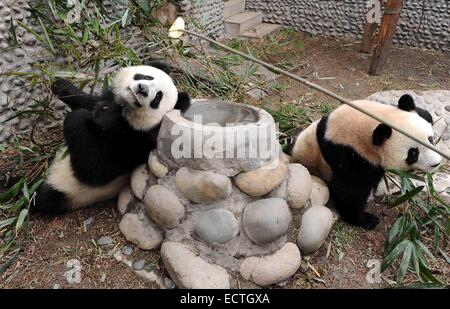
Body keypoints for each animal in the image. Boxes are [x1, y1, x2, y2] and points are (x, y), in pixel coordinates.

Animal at [33, 61, 192, 213]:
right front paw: (61, 85)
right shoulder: (108, 100)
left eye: (158, 97)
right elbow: (89, 101)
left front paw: (83, 117)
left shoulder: (137, 143)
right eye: (147, 77)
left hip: (70, 192)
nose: (142, 89)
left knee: (43, 198)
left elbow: (95, 170)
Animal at [290, 95, 442, 230]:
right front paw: (366, 220)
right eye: (413, 153)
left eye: (430, 139)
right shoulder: (349, 155)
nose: (436, 163)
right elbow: (349, 191)